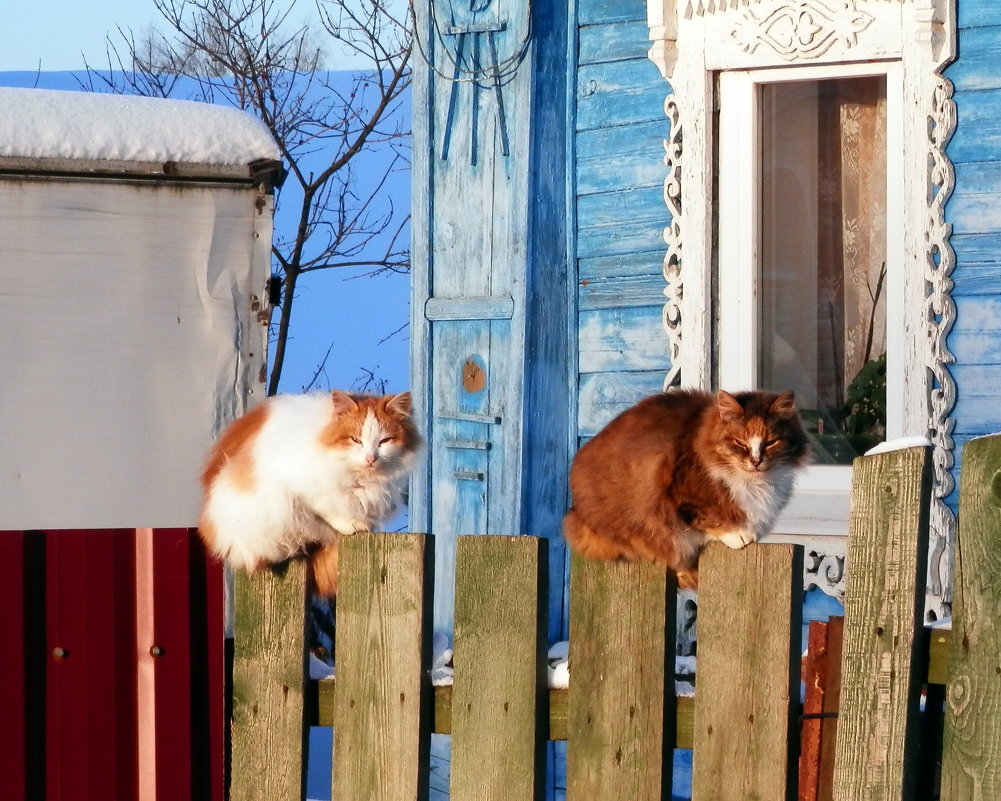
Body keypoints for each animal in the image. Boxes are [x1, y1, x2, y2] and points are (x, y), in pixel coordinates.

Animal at [197, 388, 420, 592]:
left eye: (384, 441)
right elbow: (329, 509)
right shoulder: (304, 487)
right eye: (356, 440)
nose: (370, 458)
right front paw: (351, 524)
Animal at [568, 390, 808, 588]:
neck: (755, 482)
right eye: (740, 443)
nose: (756, 461)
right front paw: (738, 535)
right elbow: (709, 519)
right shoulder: (681, 494)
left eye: (771, 442)